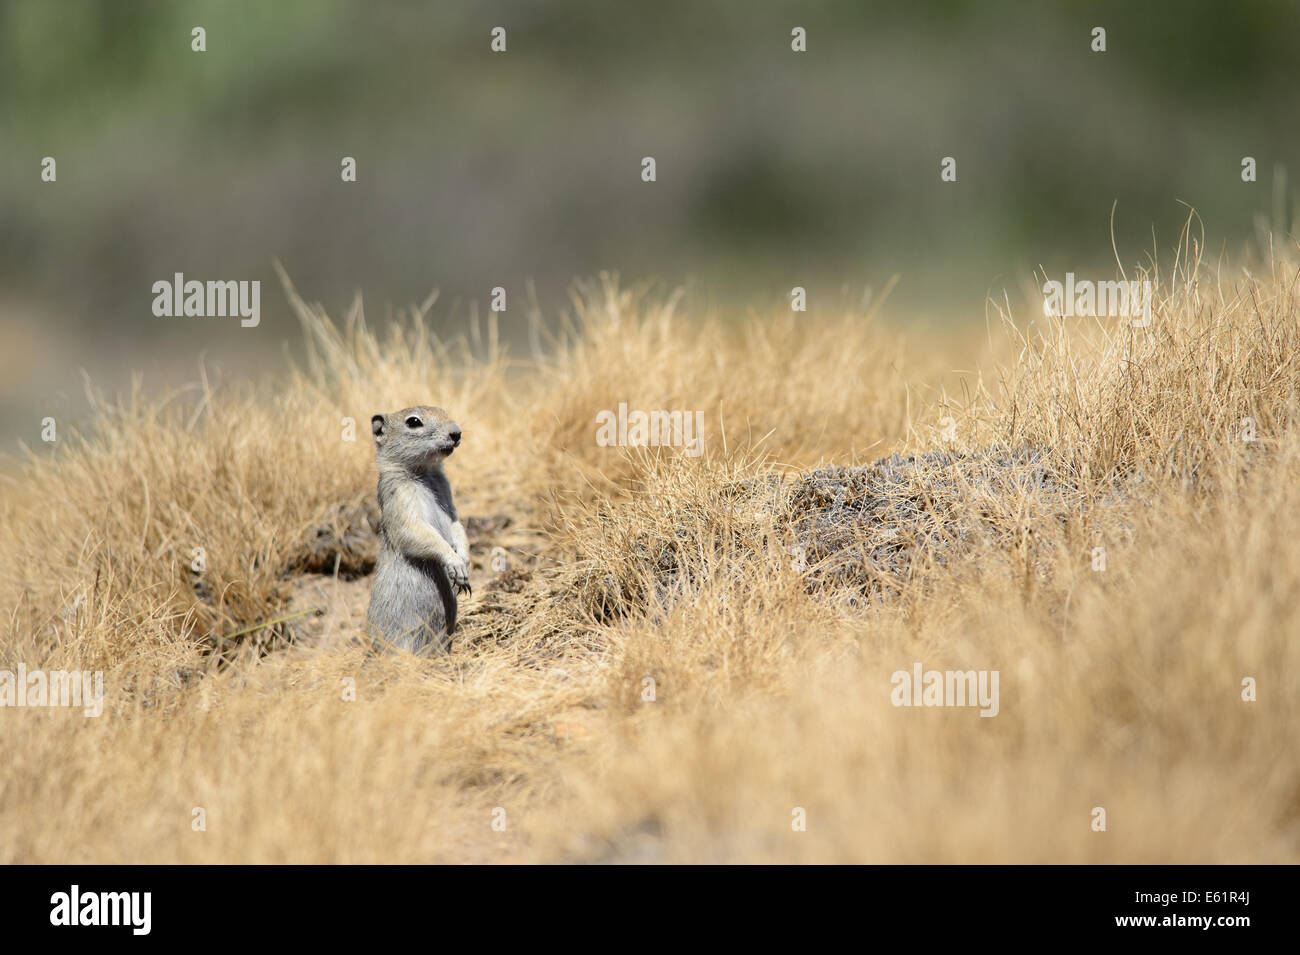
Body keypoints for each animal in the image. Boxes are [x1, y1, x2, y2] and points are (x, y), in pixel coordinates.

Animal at [364, 407, 470, 654]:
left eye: (443, 411)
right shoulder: (400, 502)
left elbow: (457, 527)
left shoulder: (449, 500)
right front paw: (456, 565)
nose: (457, 432)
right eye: (413, 422)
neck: (425, 473)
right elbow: (421, 533)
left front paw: (464, 561)